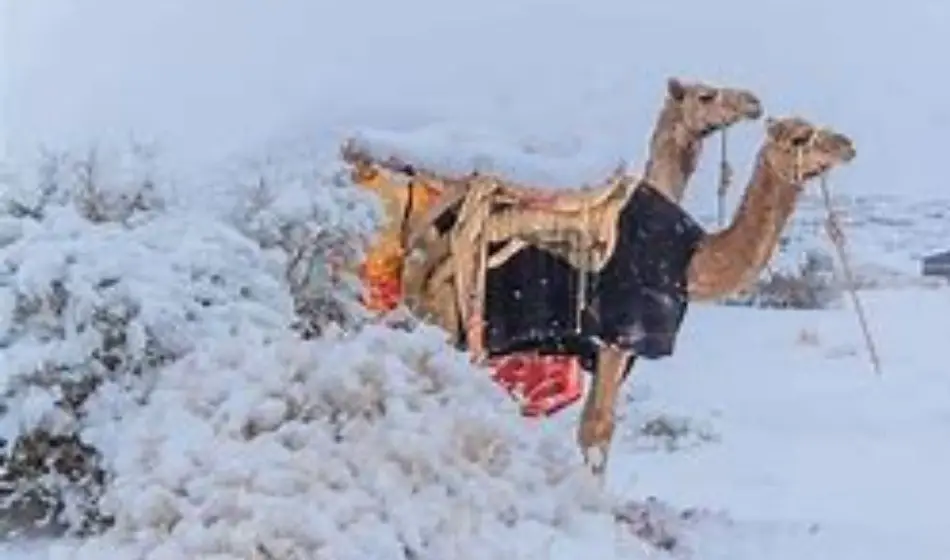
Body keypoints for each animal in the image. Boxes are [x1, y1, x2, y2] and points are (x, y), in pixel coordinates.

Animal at [406, 116, 860, 474]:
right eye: (799, 137)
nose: (847, 144)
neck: (691, 263)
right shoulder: (620, 335)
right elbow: (598, 430)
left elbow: (592, 427)